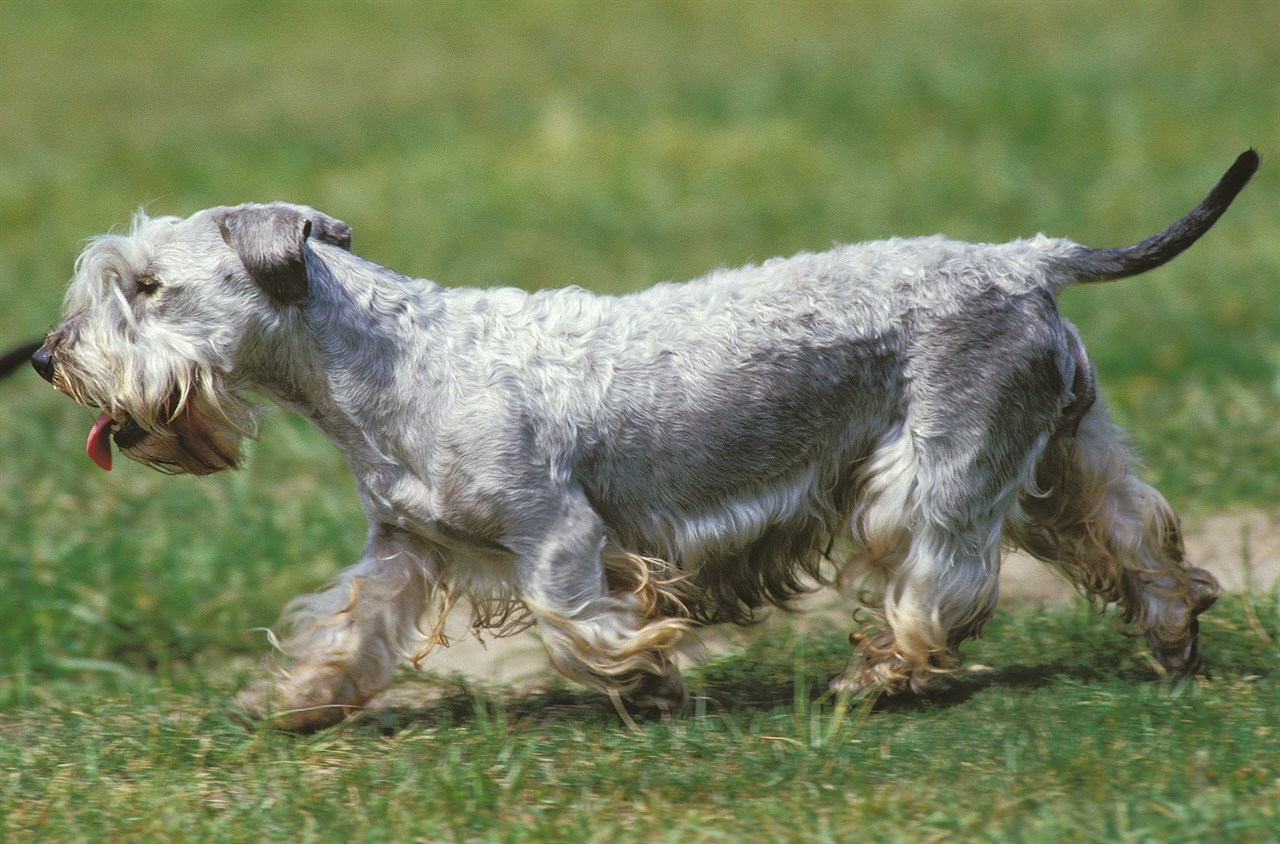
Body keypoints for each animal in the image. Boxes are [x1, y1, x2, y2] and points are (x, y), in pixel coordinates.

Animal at [35, 150, 1254, 727]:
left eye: (147, 285)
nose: (47, 356)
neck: (378, 367)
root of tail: (1027, 259)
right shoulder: (404, 547)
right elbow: (352, 630)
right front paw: (296, 704)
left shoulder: (556, 532)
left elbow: (576, 620)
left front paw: (651, 671)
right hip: (1057, 452)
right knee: (1136, 538)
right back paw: (1174, 638)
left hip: (939, 467)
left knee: (936, 582)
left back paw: (879, 675)